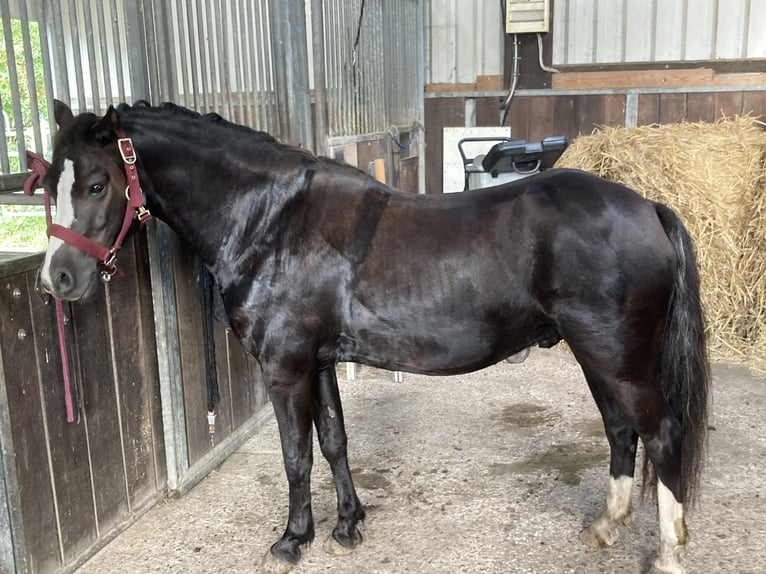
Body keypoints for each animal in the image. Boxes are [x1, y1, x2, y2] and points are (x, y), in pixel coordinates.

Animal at [36, 101, 712, 572]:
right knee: (622, 433)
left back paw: (669, 553)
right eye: (46, 185)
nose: (56, 279)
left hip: (619, 359)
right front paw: (348, 525)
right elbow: (334, 442)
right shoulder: (320, 363)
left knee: (661, 435)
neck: (269, 221)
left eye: (96, 184)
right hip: (600, 358)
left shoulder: (284, 367)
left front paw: (292, 540)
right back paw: (605, 527)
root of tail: (650, 207)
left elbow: (296, 455)